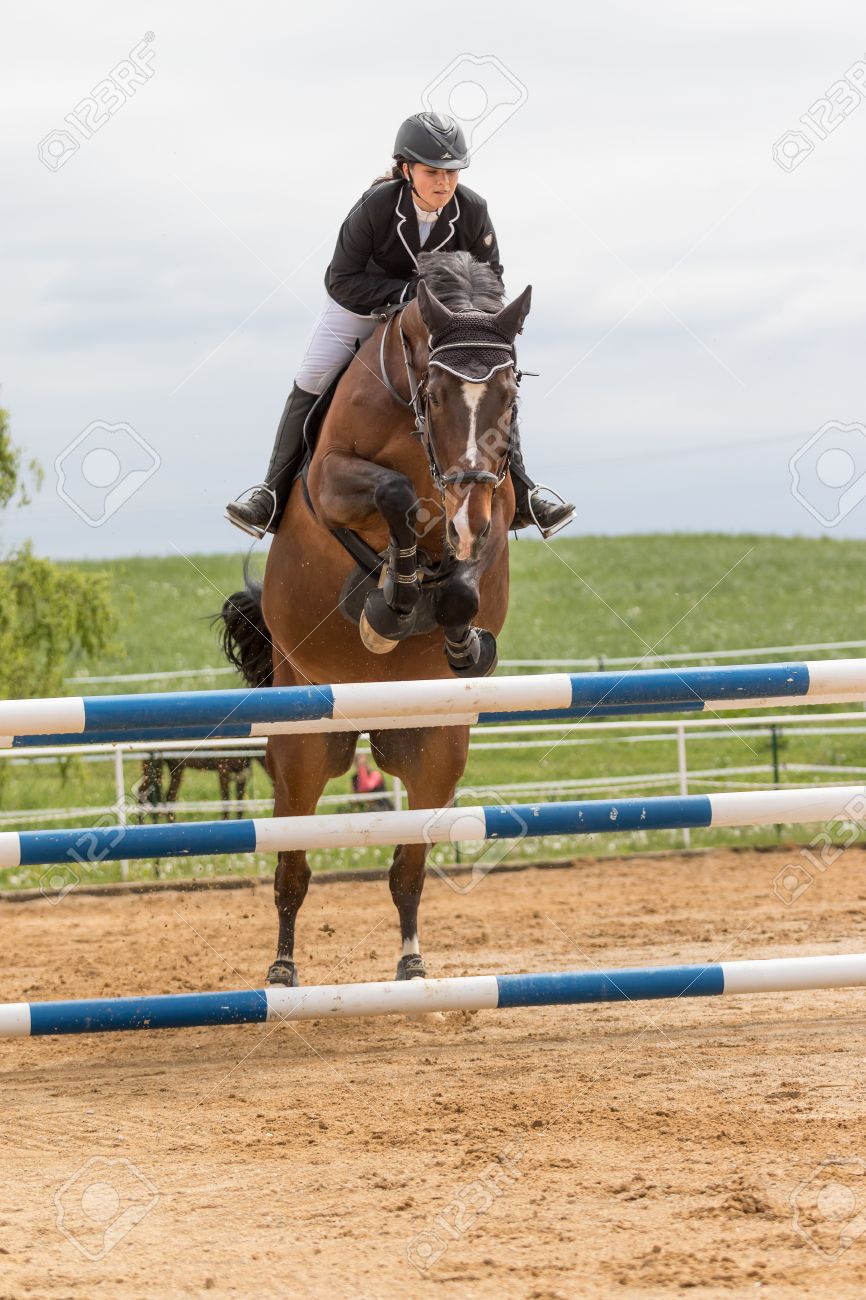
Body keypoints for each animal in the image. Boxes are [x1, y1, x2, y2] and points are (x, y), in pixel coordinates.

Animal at [220, 251, 531, 987]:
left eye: (511, 393)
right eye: (437, 394)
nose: (465, 508)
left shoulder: (496, 501)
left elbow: (462, 577)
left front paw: (459, 636)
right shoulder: (335, 480)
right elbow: (395, 498)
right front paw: (389, 603)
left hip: (433, 751)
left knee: (408, 867)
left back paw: (413, 964)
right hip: (301, 748)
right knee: (292, 866)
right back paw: (282, 969)